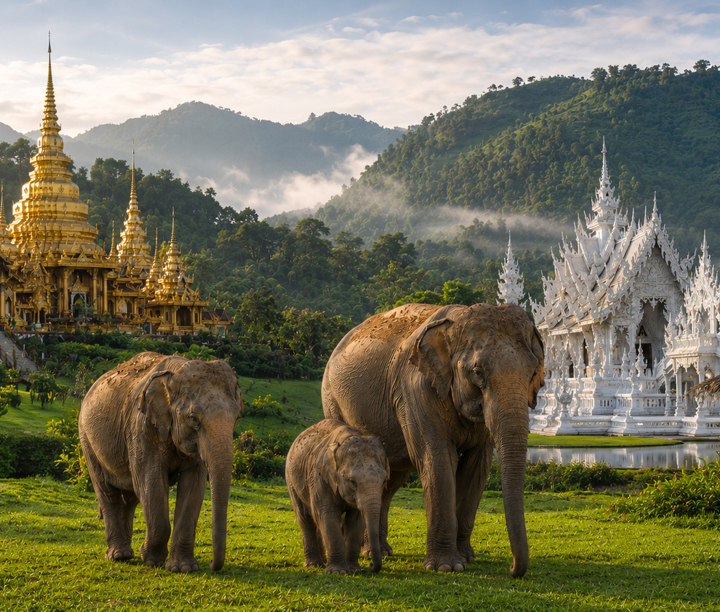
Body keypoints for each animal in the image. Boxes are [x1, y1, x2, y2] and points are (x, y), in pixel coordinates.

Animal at [78, 351, 243, 573]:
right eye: (193, 419)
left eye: (236, 417)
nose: (210, 563)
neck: (176, 372)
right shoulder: (141, 428)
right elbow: (152, 484)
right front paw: (150, 559)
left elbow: (194, 487)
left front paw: (183, 568)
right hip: (87, 439)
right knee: (107, 491)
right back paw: (118, 556)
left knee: (129, 496)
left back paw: (126, 554)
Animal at [285, 419, 390, 574]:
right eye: (352, 482)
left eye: (384, 481)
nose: (371, 565)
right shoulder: (319, 477)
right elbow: (327, 515)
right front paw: (338, 572)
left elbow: (356, 520)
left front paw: (354, 569)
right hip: (291, 482)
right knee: (305, 519)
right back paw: (313, 565)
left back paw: (322, 562)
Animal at [322, 303, 543, 577]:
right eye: (478, 372)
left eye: (533, 372)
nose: (512, 568)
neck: (459, 318)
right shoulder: (415, 390)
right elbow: (437, 459)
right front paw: (447, 566)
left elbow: (477, 466)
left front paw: (466, 558)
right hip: (332, 400)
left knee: (390, 480)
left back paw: (380, 551)